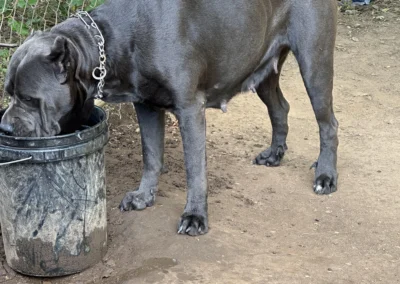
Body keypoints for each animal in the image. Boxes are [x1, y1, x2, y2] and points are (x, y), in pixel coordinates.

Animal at [0, 0, 340, 235]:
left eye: (29, 99)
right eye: (9, 92)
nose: (5, 125)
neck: (111, 38)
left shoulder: (190, 108)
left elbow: (195, 170)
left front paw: (195, 216)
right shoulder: (146, 106)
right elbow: (151, 156)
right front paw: (143, 196)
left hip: (315, 62)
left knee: (328, 124)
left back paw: (326, 176)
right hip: (264, 70)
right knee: (280, 108)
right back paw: (274, 154)